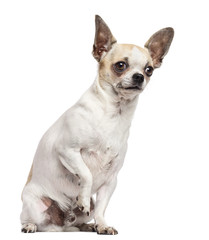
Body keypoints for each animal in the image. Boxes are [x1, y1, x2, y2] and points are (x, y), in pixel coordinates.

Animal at [20, 15, 175, 234]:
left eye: (149, 70)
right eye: (120, 65)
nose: (139, 76)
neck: (113, 114)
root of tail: (60, 226)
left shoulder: (111, 180)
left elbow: (102, 207)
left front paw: (102, 225)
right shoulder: (67, 151)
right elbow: (86, 174)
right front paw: (83, 199)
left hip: (81, 213)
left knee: (82, 218)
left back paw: (87, 225)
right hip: (34, 204)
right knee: (27, 218)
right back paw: (31, 225)